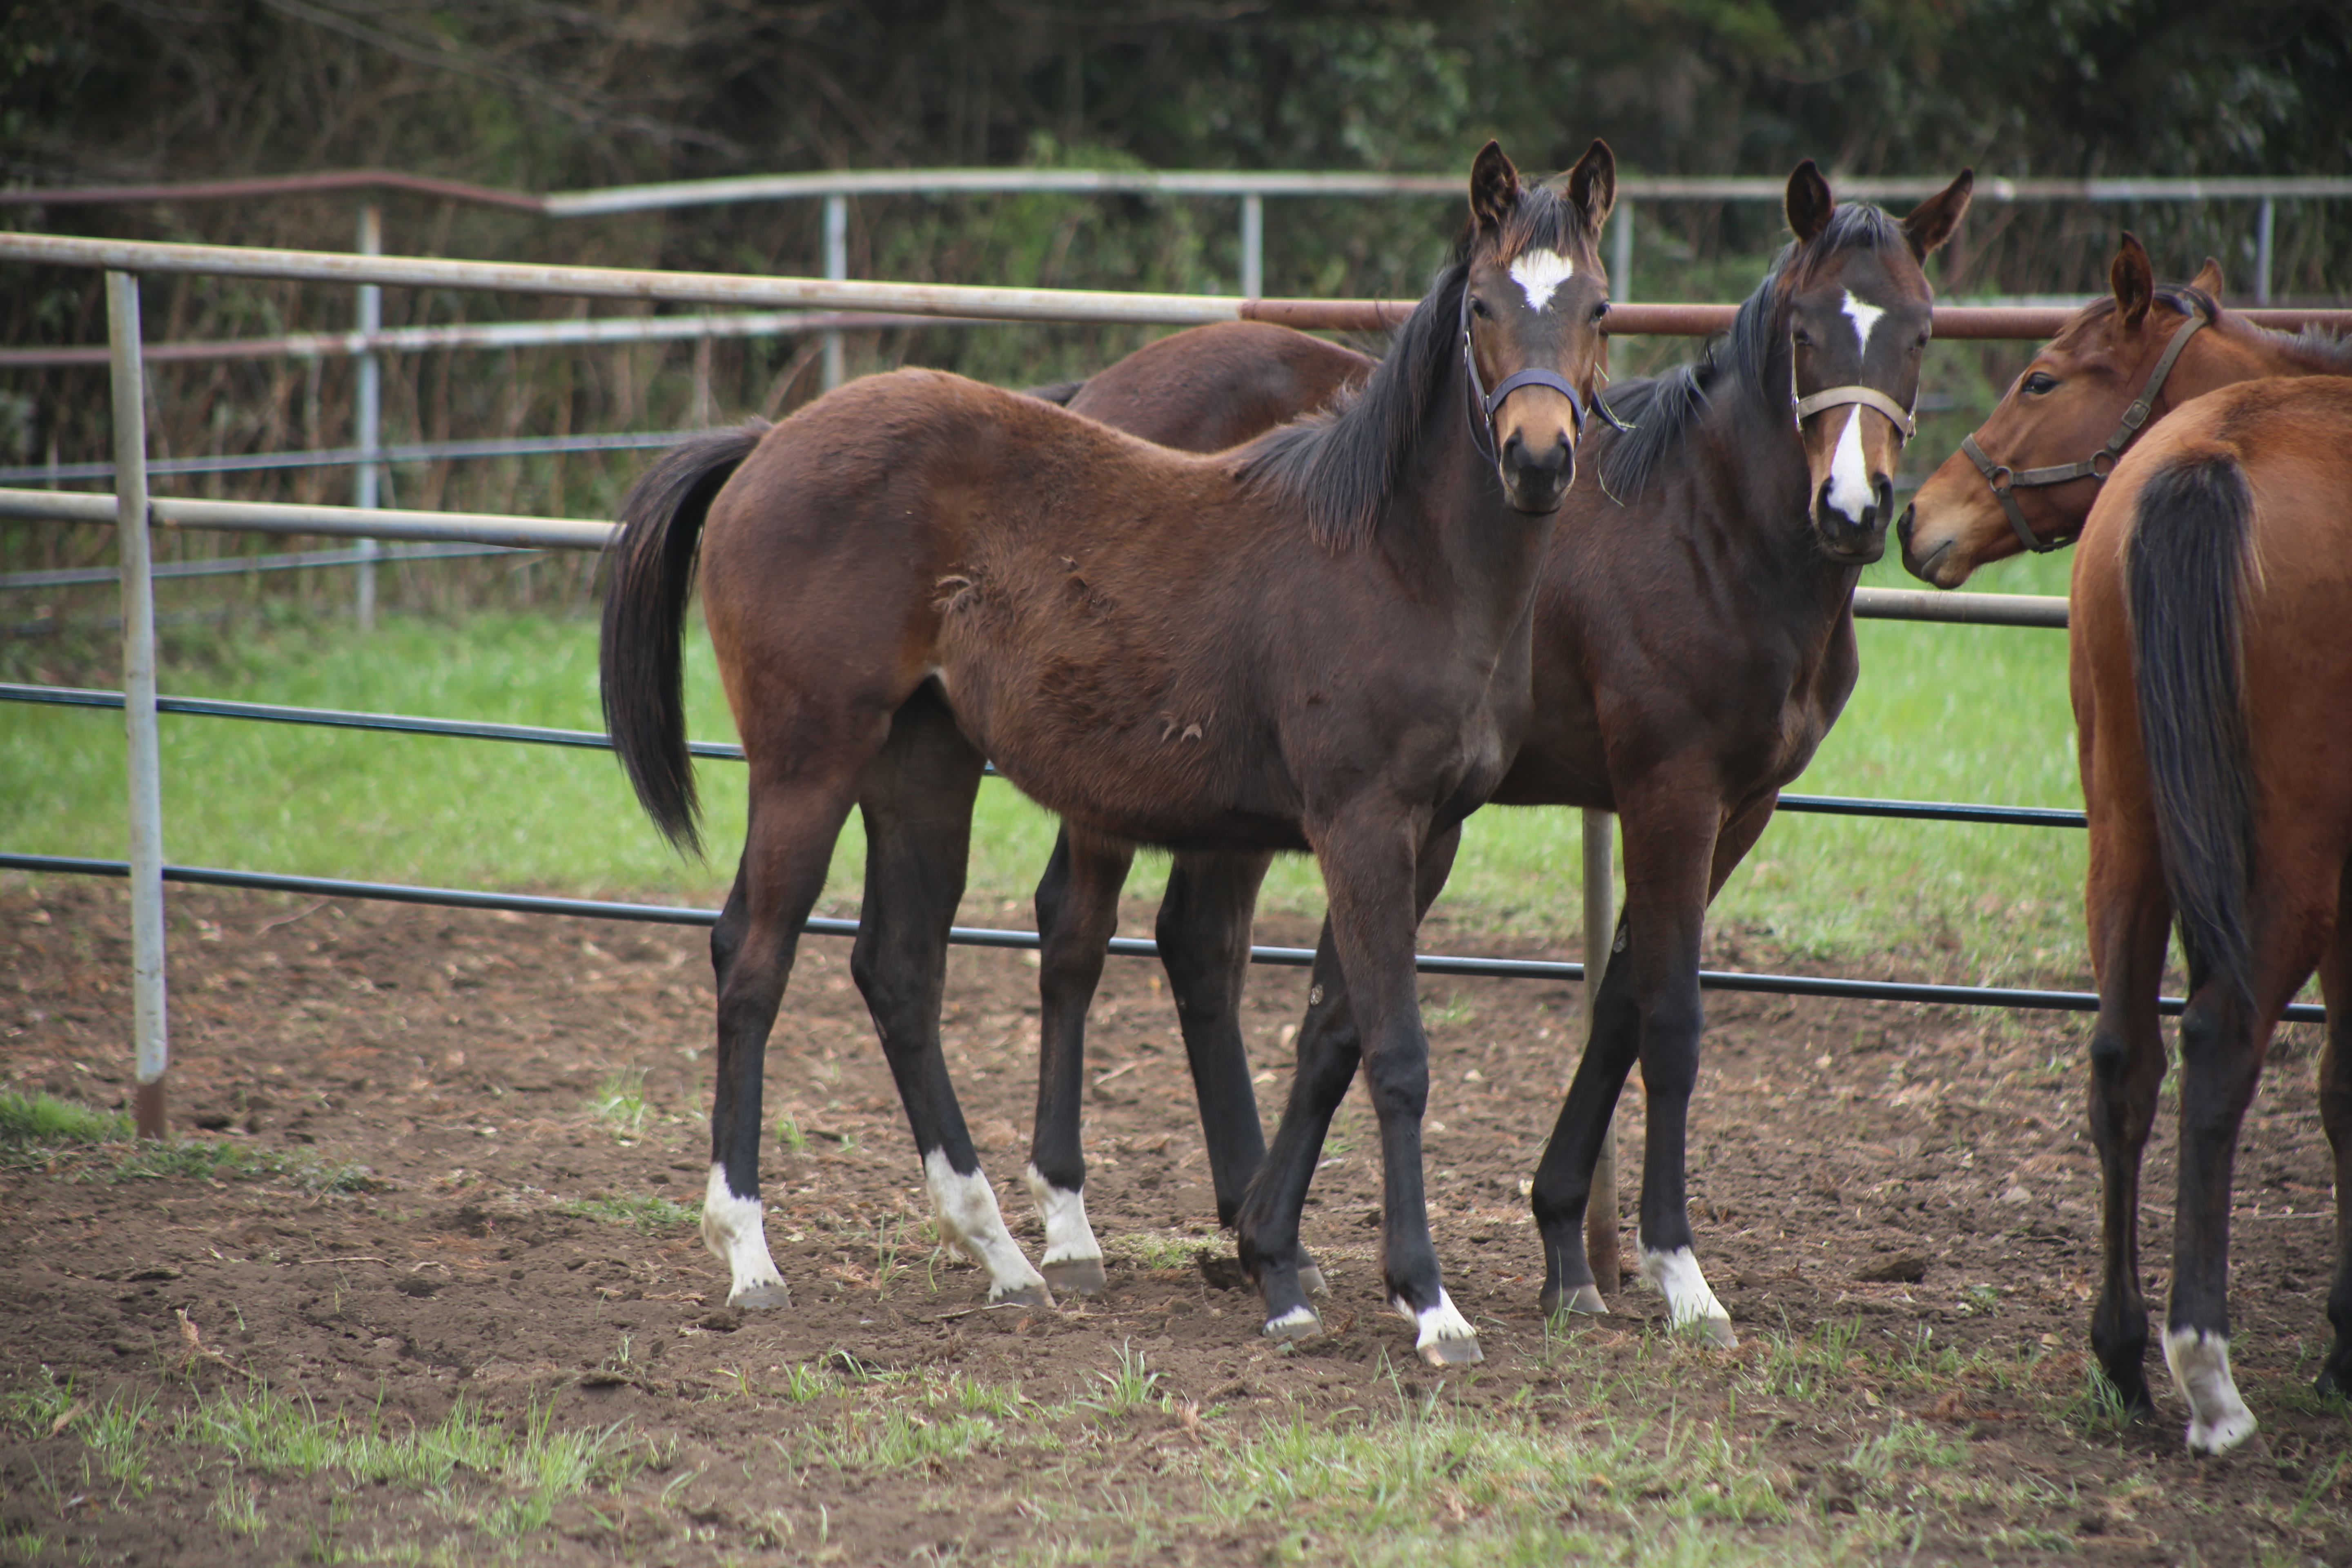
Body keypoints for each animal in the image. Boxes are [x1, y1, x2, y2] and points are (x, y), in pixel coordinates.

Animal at [597, 147, 1618, 1373]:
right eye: (1480, 307)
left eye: (1598, 306)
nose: (1538, 459)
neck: (1393, 556)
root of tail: (766, 442)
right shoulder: (1360, 823)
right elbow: (1396, 1053)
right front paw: (1425, 1300)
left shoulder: (1431, 835)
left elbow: (1329, 1033)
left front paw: (1279, 1260)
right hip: (808, 763)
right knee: (754, 960)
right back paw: (752, 1255)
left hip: (923, 769)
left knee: (899, 969)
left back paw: (1003, 1252)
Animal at [1020, 162, 1976, 1354]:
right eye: (1804, 329)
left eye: (1922, 331)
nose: (1851, 509)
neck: (1708, 529)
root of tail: (1095, 394)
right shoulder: (1671, 790)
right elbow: (1669, 1018)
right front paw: (1678, 1274)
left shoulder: (1738, 807)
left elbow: (1612, 1002)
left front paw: (1565, 1244)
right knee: (1077, 932)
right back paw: (1071, 1226)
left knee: (1200, 949)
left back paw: (1255, 1225)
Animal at [2079, 374, 2352, 1457]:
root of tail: (2218, 455)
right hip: (2293, 862)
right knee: (2218, 1044)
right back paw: (2205, 1370)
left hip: (2125, 824)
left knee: (2122, 1057)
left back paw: (2121, 1355)